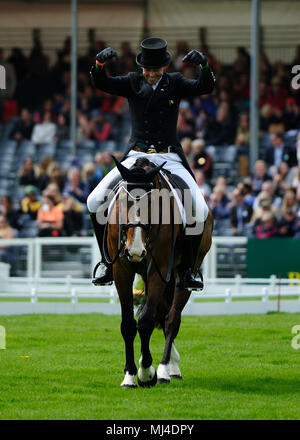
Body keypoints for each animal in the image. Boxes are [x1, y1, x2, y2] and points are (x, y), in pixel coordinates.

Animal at [103, 156, 213, 388]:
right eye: (123, 202)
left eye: (152, 203)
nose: (135, 251)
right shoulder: (121, 270)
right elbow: (128, 324)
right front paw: (129, 375)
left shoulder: (158, 268)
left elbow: (145, 322)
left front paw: (146, 373)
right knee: (161, 314)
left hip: (181, 274)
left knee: (171, 319)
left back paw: (165, 369)